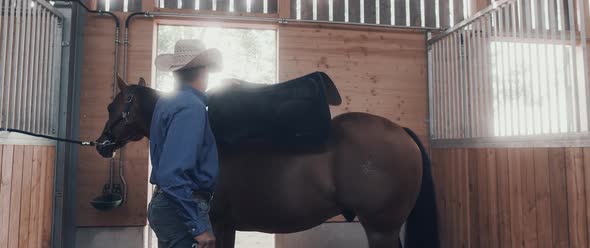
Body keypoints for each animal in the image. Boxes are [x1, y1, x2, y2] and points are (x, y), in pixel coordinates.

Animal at [96, 76, 440, 247]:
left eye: (113, 106)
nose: (101, 144)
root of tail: (401, 131)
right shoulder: (226, 226)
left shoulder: (217, 223)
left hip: (381, 228)